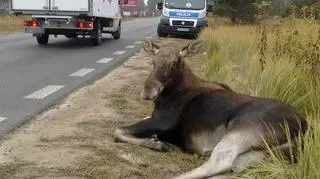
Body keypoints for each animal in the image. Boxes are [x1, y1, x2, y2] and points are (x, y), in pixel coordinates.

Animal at [114, 39, 308, 178]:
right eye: (153, 61)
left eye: (174, 63)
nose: (148, 91)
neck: (167, 95)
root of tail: (305, 128)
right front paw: (156, 141)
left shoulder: (162, 121)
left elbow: (117, 131)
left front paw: (158, 143)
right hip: (263, 154)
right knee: (234, 168)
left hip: (244, 127)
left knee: (222, 161)